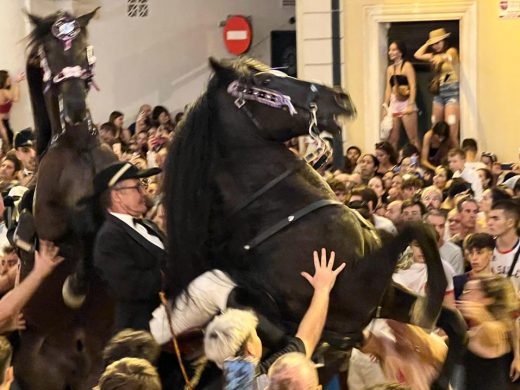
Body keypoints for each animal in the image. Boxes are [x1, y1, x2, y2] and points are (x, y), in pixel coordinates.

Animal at [165, 57, 466, 386]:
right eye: (265, 83)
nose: (339, 97)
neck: (283, 213)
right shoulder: (363, 283)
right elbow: (417, 228)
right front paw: (428, 310)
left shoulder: (382, 296)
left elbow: (456, 322)